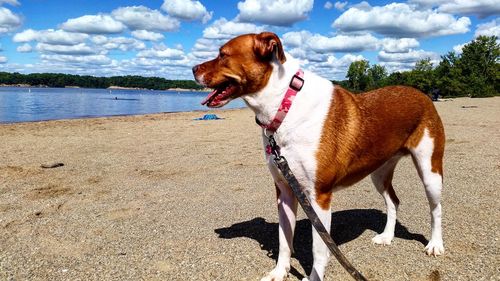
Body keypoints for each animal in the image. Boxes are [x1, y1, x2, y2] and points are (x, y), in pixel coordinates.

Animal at [191, 32, 446, 280]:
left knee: (436, 208)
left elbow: (319, 249)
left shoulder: (319, 197)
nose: (193, 68)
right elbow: (284, 239)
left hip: (430, 171)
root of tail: (421, 94)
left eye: (223, 54)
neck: (285, 105)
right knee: (393, 201)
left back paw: (435, 244)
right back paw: (387, 236)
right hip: (379, 171)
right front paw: (279, 272)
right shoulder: (285, 191)